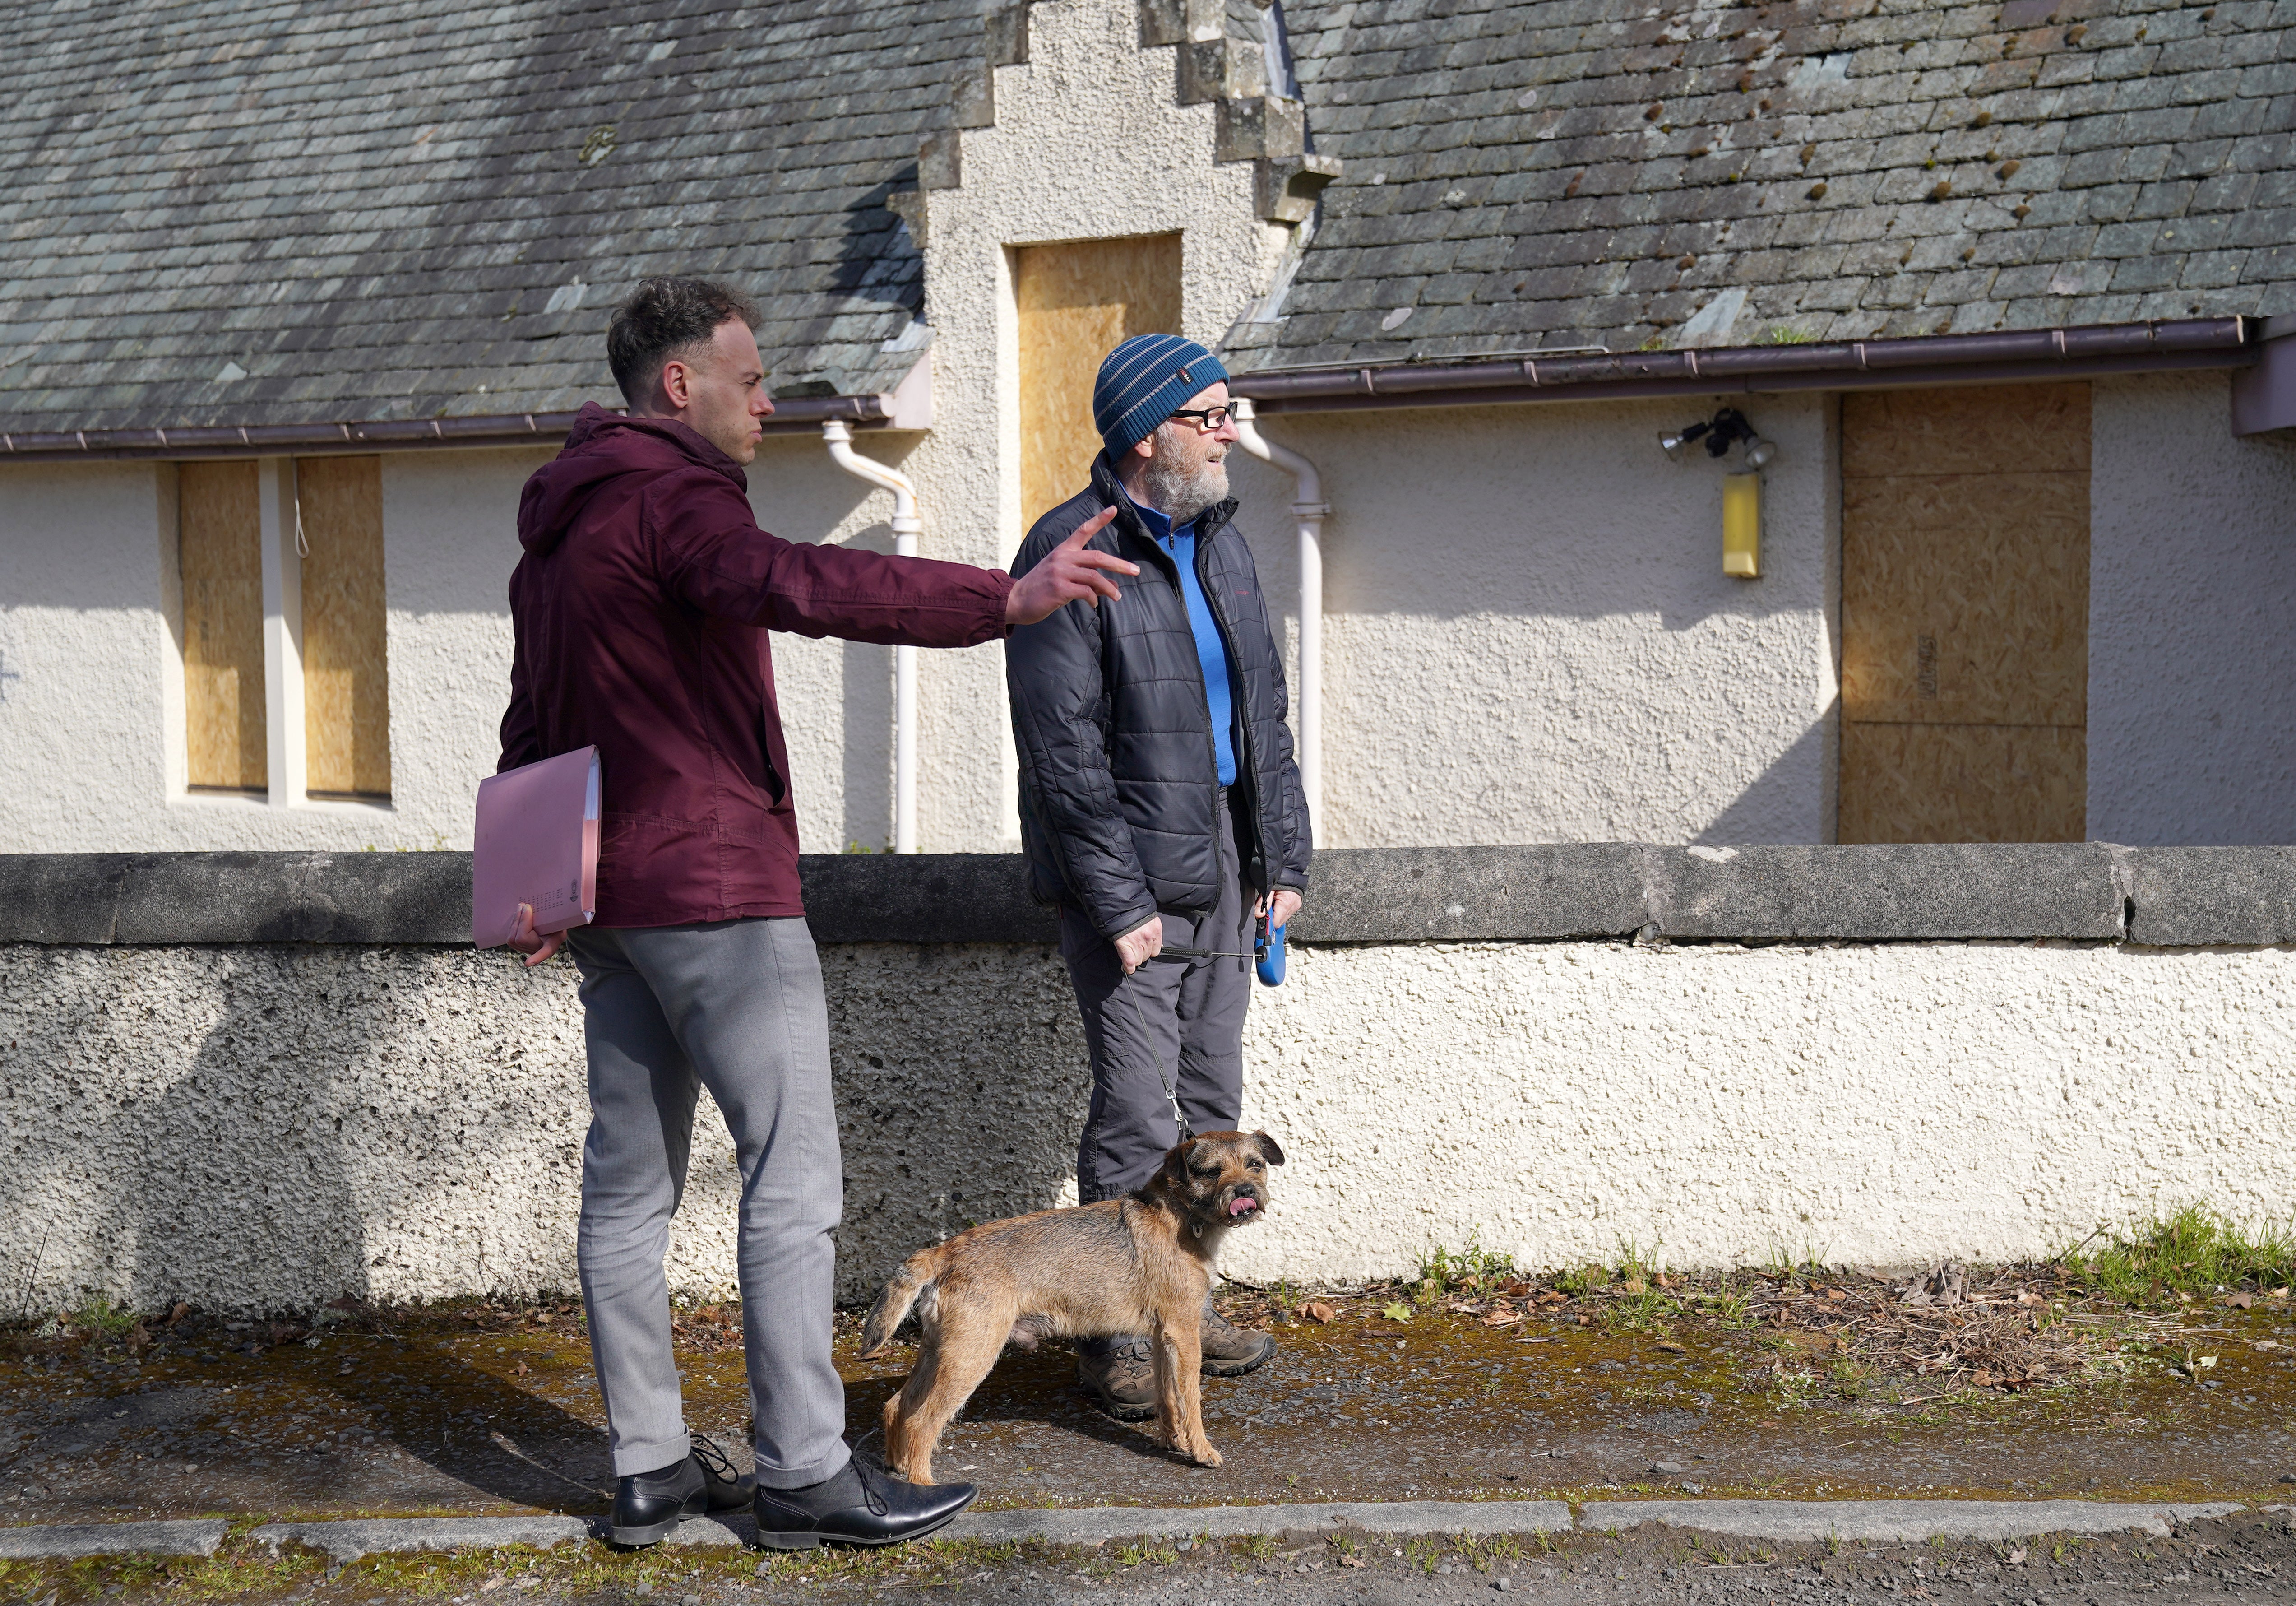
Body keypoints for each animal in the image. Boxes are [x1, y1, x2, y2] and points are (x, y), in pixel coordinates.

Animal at [863, 1130, 1295, 1480]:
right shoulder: (1185, 1334)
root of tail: (943, 1252)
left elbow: (1168, 1397)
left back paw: (897, 1469)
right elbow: (1190, 1399)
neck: (1180, 1214)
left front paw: (1172, 1440)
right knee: (921, 1423)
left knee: (896, 1408)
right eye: (1211, 1172)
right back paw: (924, 1487)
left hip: (939, 1352)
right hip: (970, 1356)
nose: (1245, 1192)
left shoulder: (1162, 1338)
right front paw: (1202, 1452)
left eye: (1255, 1165)